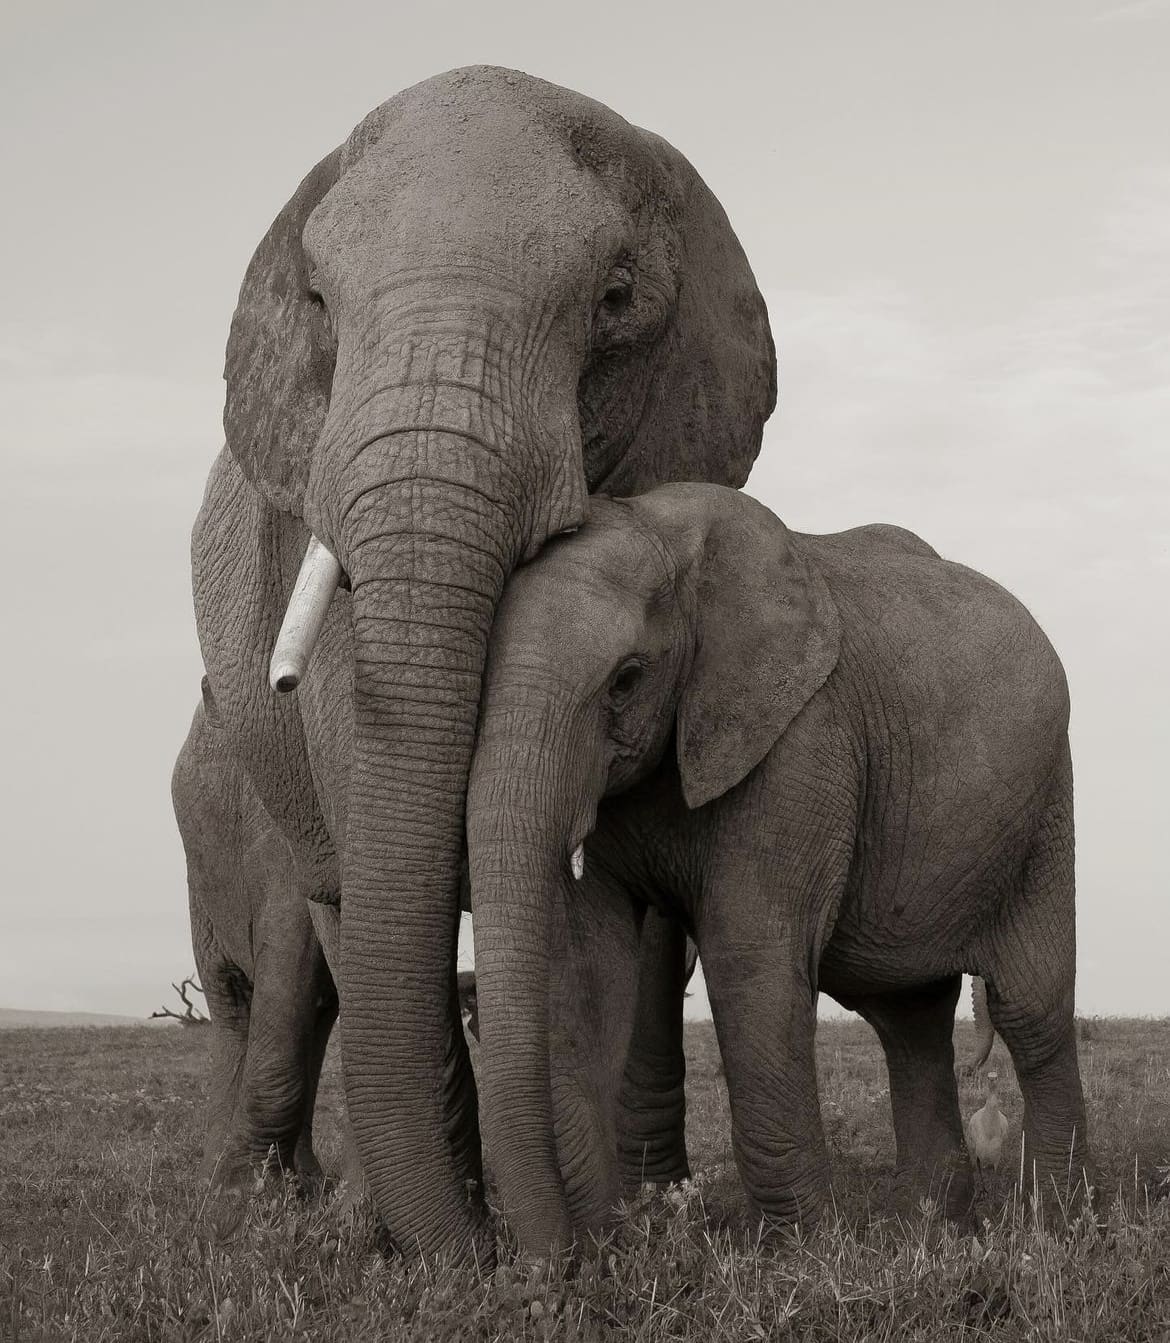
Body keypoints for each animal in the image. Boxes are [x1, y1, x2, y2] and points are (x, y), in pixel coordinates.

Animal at [190, 65, 775, 1257]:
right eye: (318, 303)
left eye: (614, 298)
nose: (526, 1263)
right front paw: (458, 1243)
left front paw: (619, 1220)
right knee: (334, 896)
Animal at [466, 483, 1094, 1252]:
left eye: (625, 681)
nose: (552, 1264)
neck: (664, 533)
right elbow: (589, 965)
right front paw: (611, 1241)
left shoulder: (801, 740)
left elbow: (750, 953)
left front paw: (802, 1252)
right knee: (908, 1016)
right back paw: (926, 1224)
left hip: (1045, 807)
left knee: (1030, 1008)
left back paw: (1060, 1223)